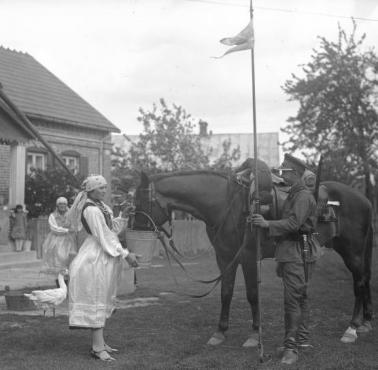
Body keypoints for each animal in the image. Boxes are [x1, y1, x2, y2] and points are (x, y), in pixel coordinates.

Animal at [134, 171, 374, 346]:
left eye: (141, 201)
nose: (136, 228)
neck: (225, 204)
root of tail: (364, 200)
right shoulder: (225, 258)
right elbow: (226, 293)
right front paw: (220, 332)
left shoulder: (247, 257)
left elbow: (251, 294)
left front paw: (254, 334)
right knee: (364, 281)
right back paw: (365, 322)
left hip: (352, 252)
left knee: (360, 283)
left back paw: (352, 328)